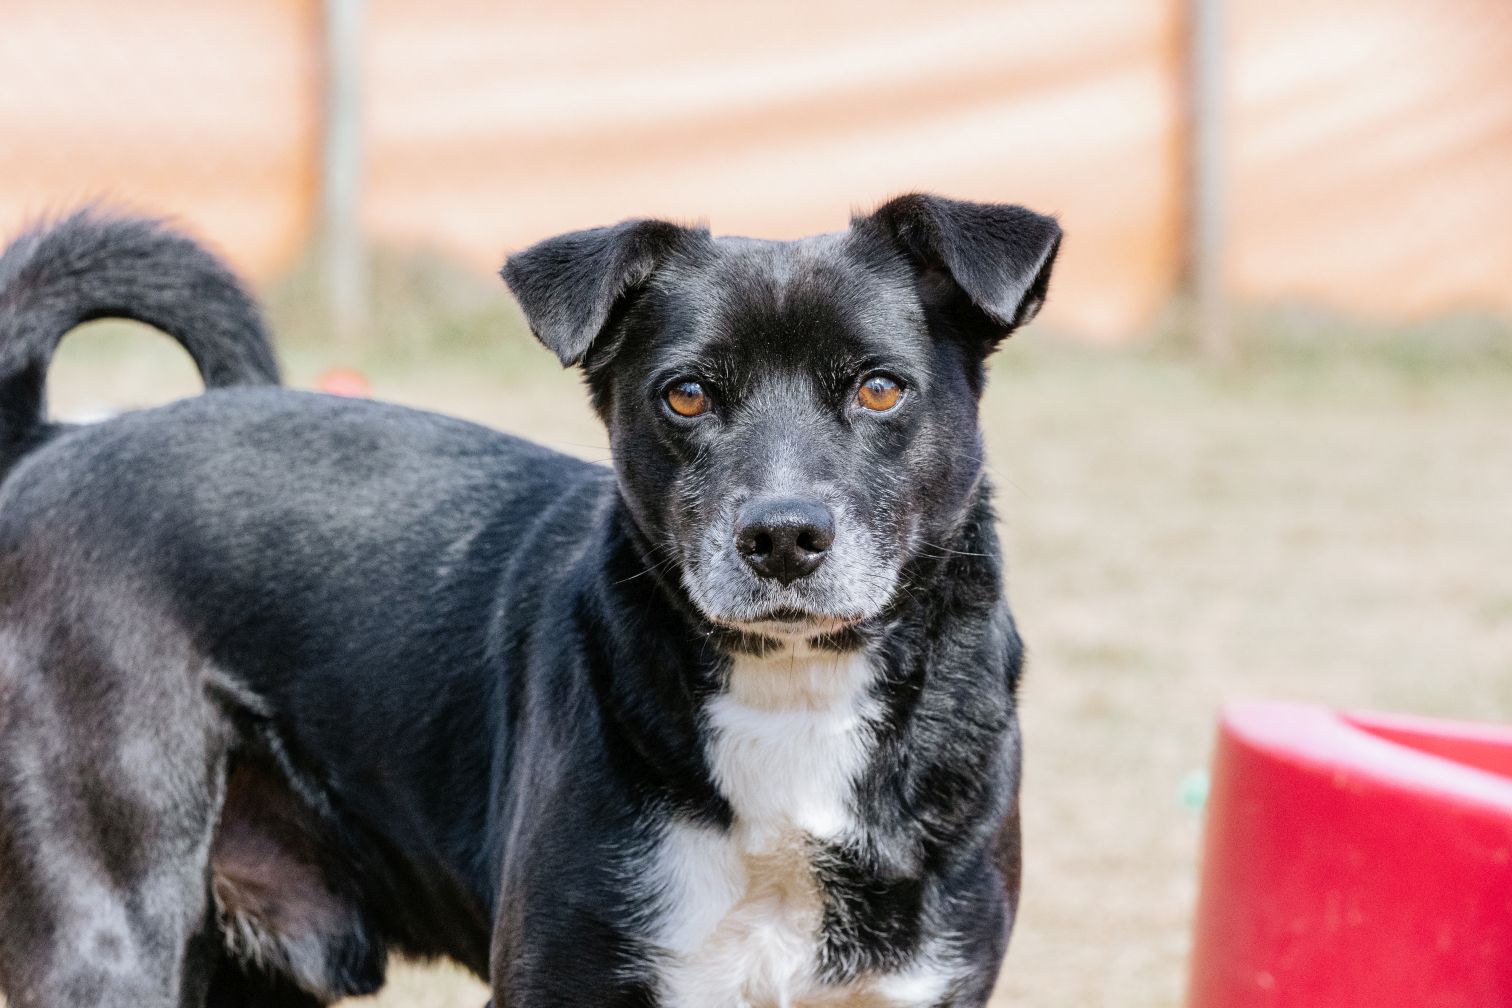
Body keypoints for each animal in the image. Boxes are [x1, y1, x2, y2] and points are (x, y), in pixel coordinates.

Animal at [0, 196, 1058, 1008]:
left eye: (881, 390)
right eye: (684, 395)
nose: (783, 538)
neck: (793, 698)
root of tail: (51, 439)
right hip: (106, 938)